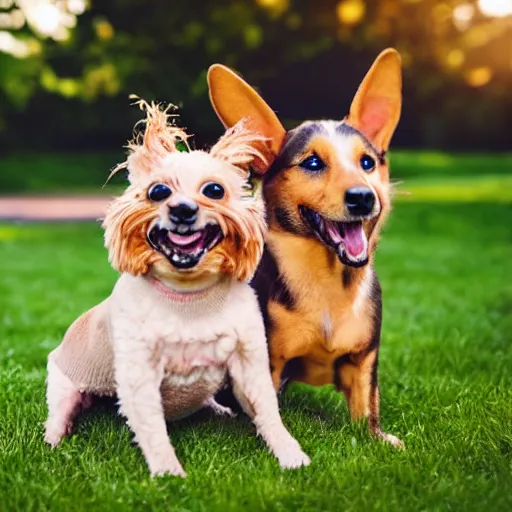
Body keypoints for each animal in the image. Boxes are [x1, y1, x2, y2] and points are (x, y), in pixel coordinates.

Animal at [43, 100, 308, 476]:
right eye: (158, 191)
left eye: (214, 190)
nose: (182, 209)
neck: (189, 295)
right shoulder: (139, 375)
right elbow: (153, 429)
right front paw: (169, 474)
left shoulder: (249, 361)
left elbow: (269, 413)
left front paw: (290, 454)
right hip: (64, 384)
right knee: (58, 415)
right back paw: (54, 440)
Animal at [208, 49, 404, 448]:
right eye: (312, 162)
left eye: (367, 162)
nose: (363, 197)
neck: (328, 282)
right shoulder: (267, 362)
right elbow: (265, 409)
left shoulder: (364, 359)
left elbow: (367, 409)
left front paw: (379, 438)